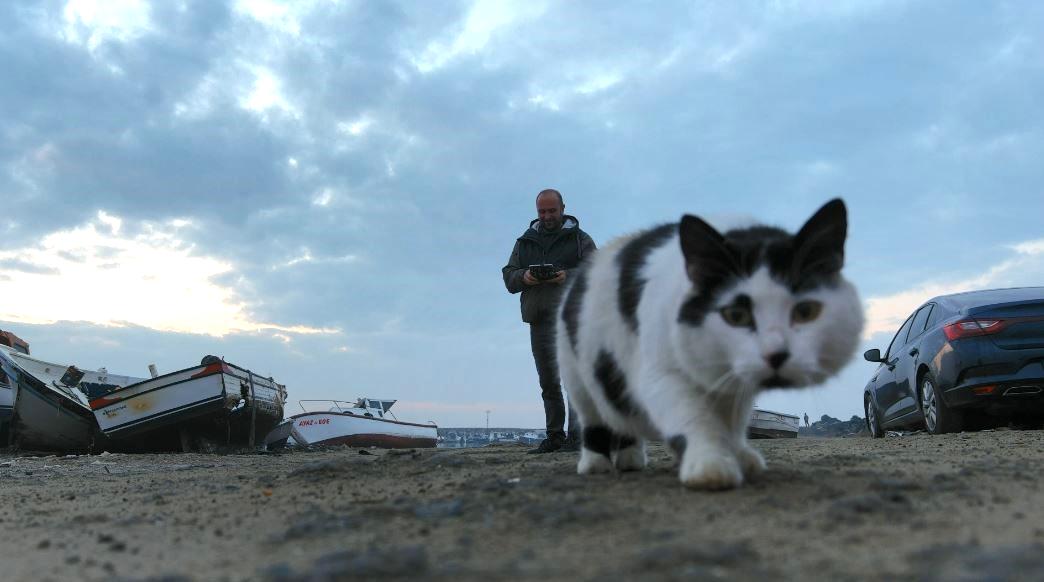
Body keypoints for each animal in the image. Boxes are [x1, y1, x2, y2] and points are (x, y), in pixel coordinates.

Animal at [559, 197, 860, 486]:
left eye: (806, 311)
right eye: (735, 315)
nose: (776, 354)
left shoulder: (735, 387)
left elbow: (733, 423)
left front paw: (739, 456)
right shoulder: (660, 373)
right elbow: (693, 417)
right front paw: (710, 465)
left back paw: (631, 459)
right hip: (577, 376)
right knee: (594, 417)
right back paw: (595, 464)